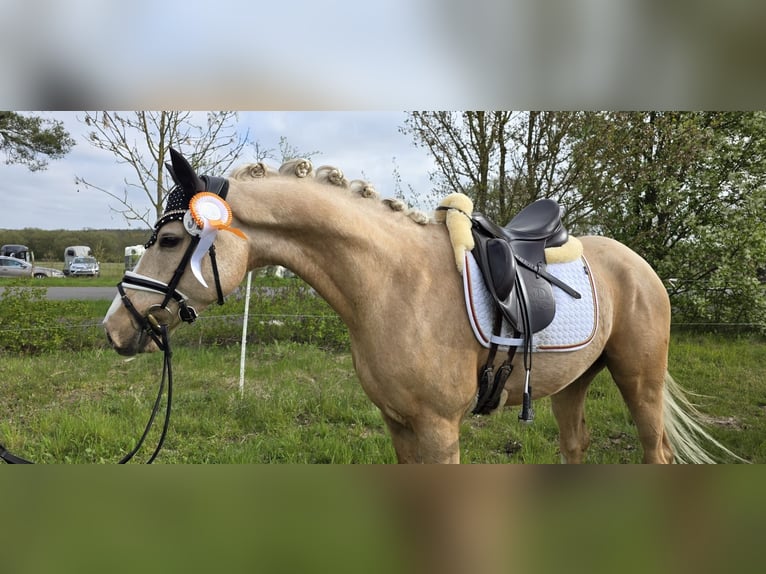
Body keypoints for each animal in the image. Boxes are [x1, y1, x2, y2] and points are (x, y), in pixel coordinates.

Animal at [102, 149, 737, 463]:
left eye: (168, 240)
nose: (114, 328)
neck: (391, 282)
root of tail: (641, 266)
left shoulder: (437, 428)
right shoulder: (399, 424)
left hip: (639, 379)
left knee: (656, 452)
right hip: (573, 382)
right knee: (575, 447)